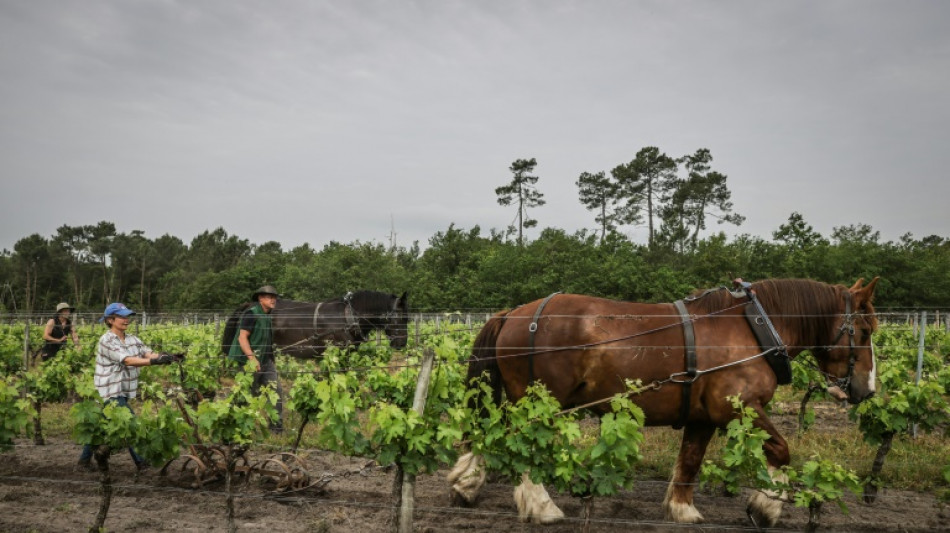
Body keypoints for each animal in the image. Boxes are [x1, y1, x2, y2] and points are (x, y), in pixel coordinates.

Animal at [448, 277, 879, 527]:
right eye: (863, 330)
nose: (868, 389)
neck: (754, 328)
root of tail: (514, 314)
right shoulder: (737, 407)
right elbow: (781, 450)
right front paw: (766, 507)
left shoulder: (704, 417)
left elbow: (689, 461)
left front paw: (682, 509)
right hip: (541, 404)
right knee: (524, 447)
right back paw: (542, 507)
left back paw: (467, 486)